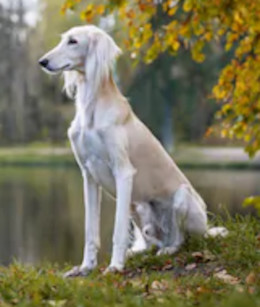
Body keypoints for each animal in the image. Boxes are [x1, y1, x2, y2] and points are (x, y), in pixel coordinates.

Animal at [39, 25, 228, 278]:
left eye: (73, 41)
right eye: (64, 40)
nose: (42, 62)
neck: (91, 109)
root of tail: (206, 229)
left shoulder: (123, 172)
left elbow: (117, 230)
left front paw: (115, 266)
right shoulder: (88, 176)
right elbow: (90, 231)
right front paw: (86, 267)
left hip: (182, 198)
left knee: (179, 239)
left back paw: (168, 249)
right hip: (137, 205)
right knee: (150, 242)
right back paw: (140, 251)